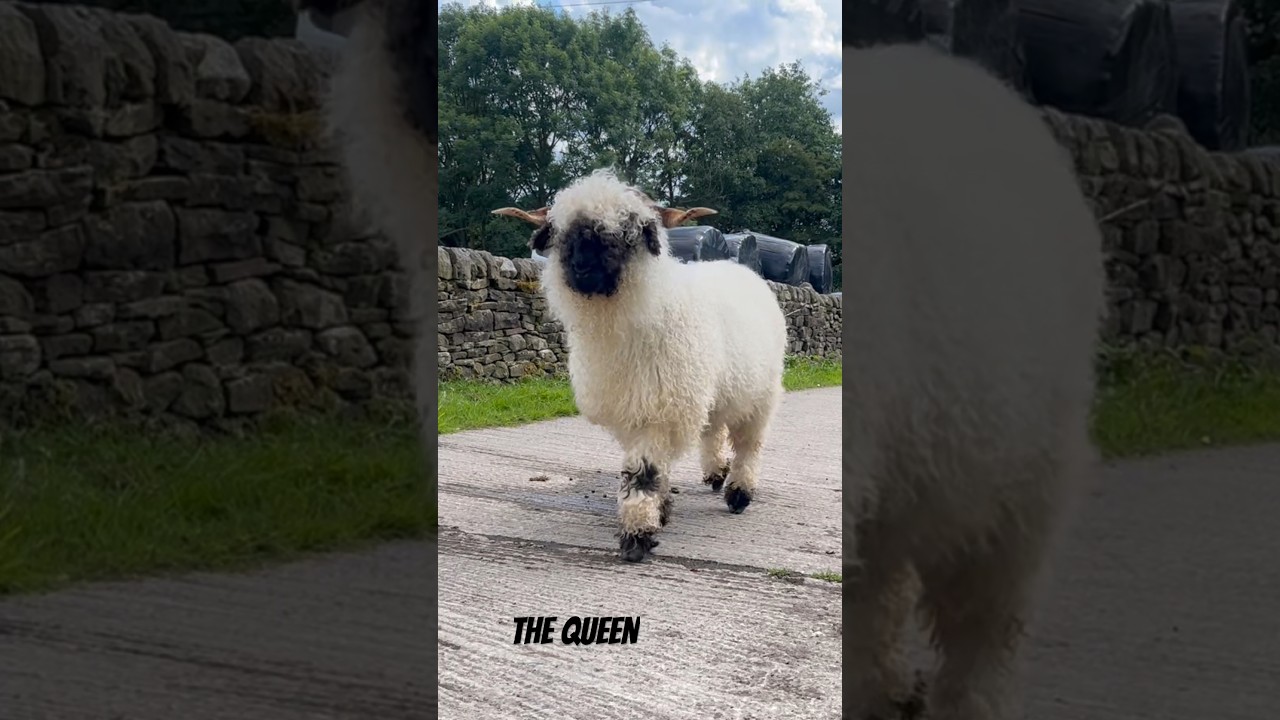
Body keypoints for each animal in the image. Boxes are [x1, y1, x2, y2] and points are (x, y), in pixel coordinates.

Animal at [493, 170, 789, 562]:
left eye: (627, 231)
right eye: (562, 231)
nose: (582, 267)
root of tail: (736, 266)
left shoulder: (657, 410)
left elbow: (643, 472)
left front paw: (637, 535)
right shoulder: (637, 408)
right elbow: (654, 467)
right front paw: (659, 512)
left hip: (760, 395)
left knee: (748, 444)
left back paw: (739, 492)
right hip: (710, 390)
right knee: (712, 430)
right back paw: (715, 473)